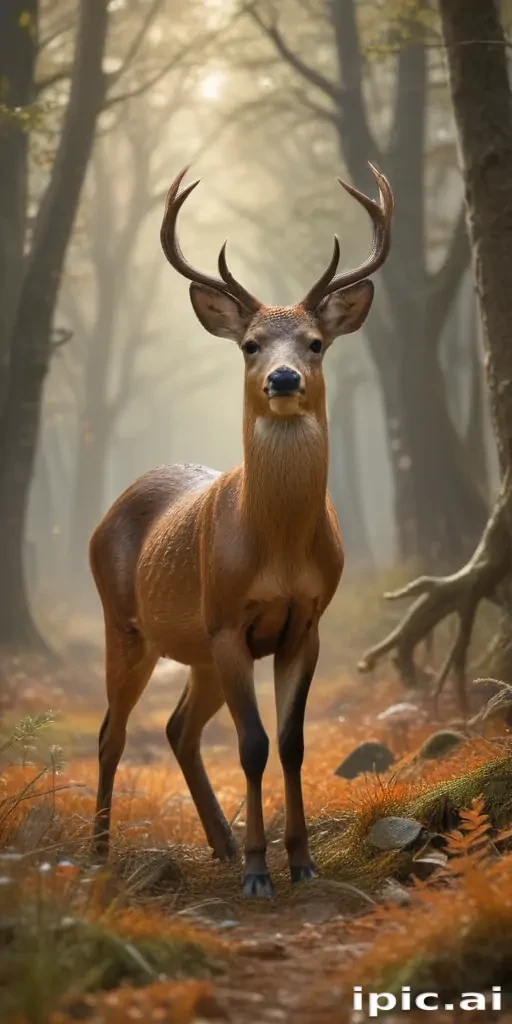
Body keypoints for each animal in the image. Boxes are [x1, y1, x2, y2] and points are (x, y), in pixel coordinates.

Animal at [90, 163, 393, 898]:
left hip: (193, 647)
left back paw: (220, 844)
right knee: (113, 731)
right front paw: (261, 872)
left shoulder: (305, 622)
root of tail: (107, 514)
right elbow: (252, 744)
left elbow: (292, 742)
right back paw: (99, 850)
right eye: (251, 345)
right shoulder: (229, 619)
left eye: (316, 343)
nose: (282, 377)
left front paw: (302, 861)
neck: (276, 549)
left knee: (177, 728)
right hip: (127, 623)